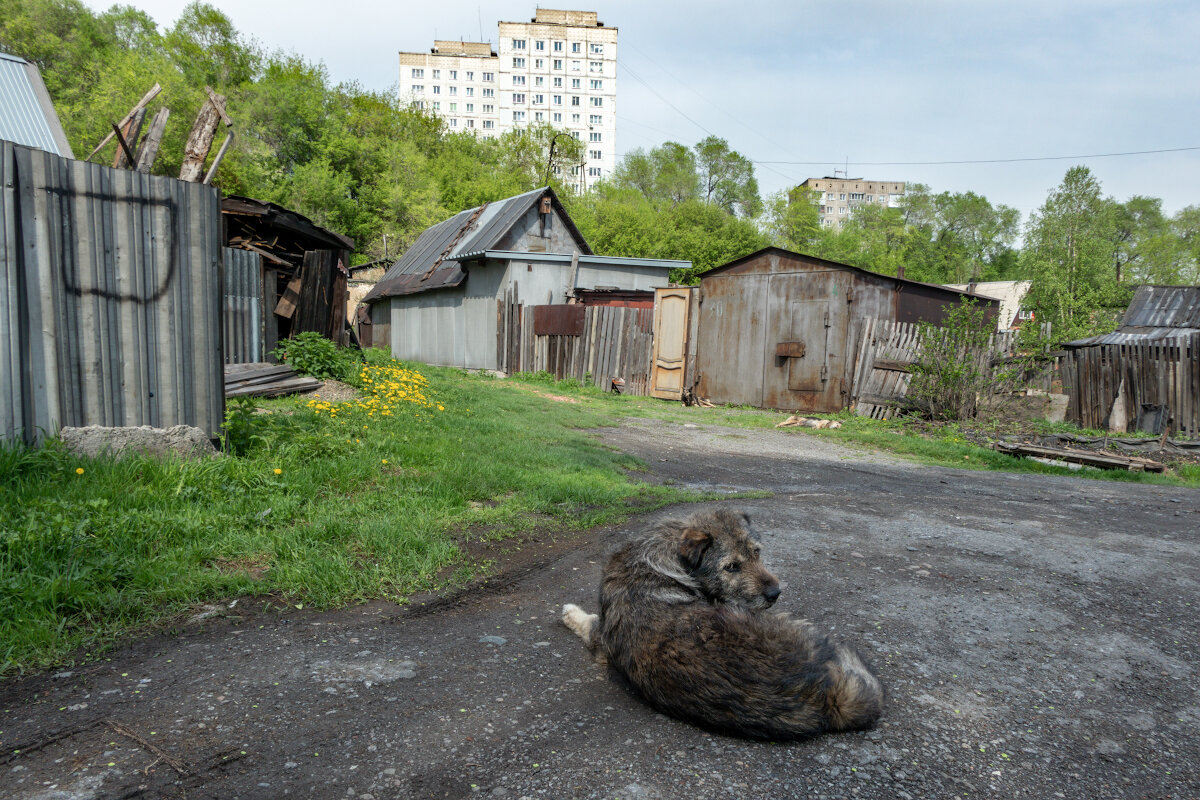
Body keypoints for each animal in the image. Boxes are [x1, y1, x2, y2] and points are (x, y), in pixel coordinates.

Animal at [559, 510, 883, 743]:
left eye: (757, 552)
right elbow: (588, 621)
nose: (775, 593)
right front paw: (571, 612)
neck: (664, 557)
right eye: (731, 567)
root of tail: (829, 698)